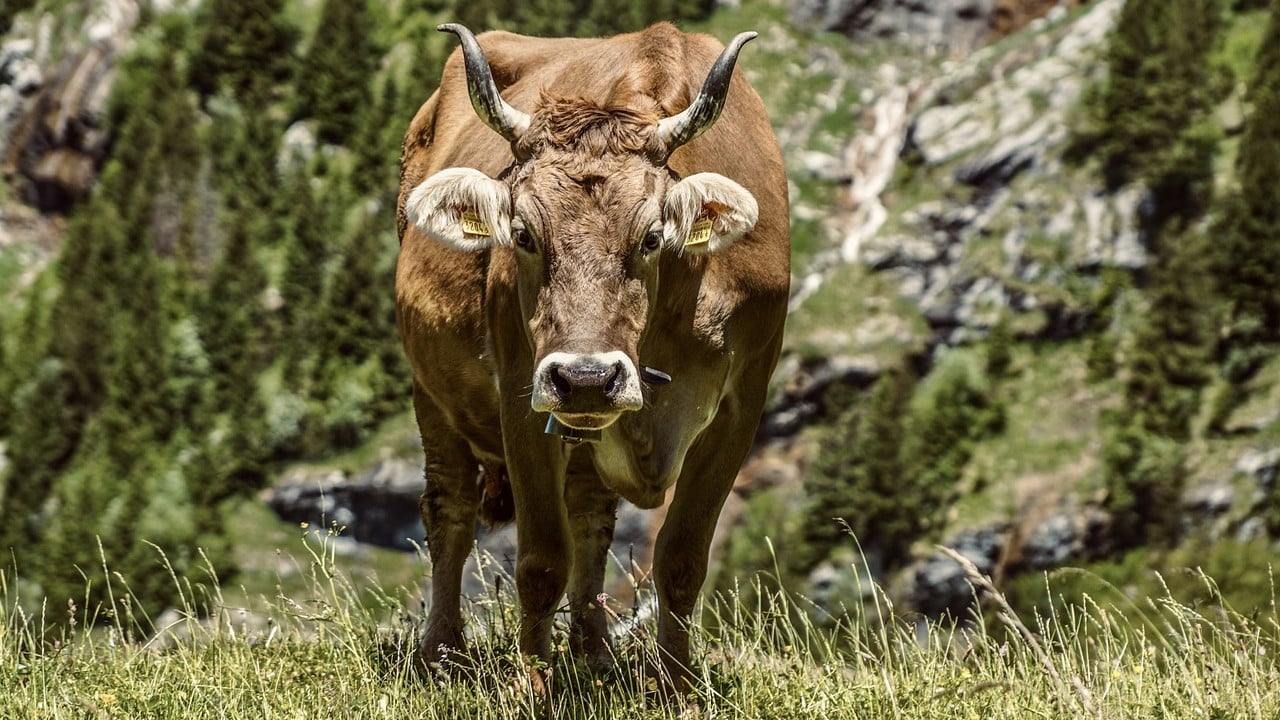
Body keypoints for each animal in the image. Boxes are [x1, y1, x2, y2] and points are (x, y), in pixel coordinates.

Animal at [394, 19, 788, 686]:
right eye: (523, 233)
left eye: (652, 236)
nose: (584, 377)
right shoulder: (522, 394)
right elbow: (540, 561)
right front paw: (532, 688)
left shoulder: (742, 407)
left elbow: (681, 558)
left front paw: (677, 688)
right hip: (433, 390)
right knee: (449, 506)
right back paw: (442, 653)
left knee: (590, 517)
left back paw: (594, 651)